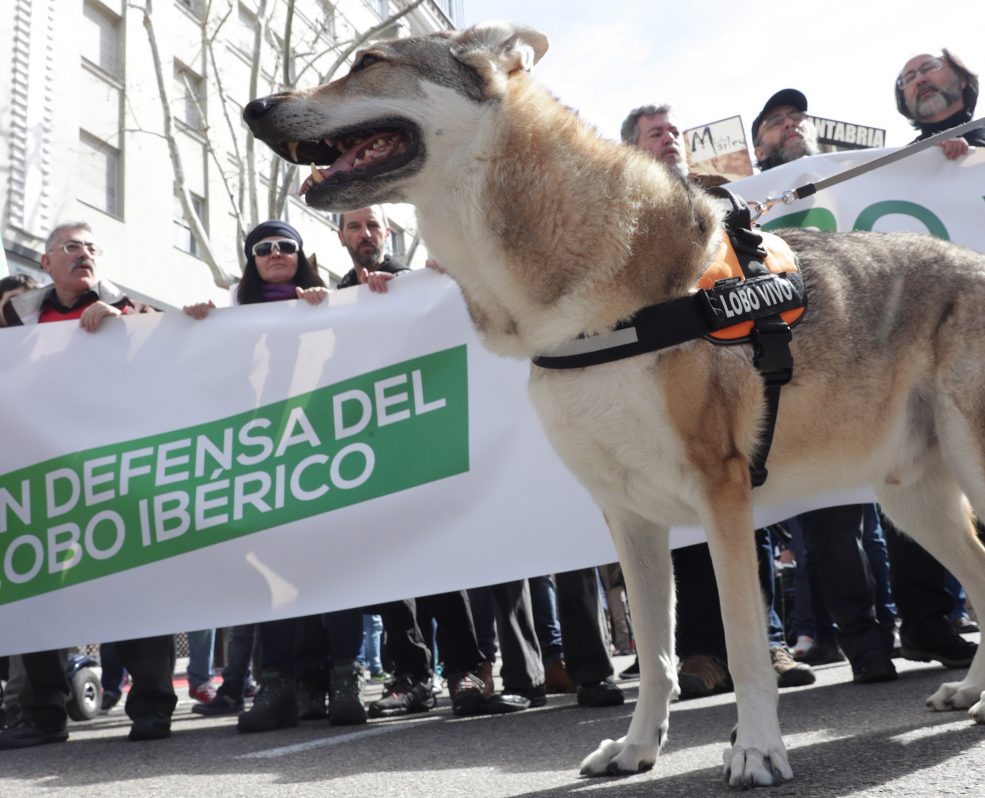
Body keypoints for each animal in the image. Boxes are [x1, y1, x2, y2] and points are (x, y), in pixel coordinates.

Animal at [243, 21, 985, 788]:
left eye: (367, 62)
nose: (253, 109)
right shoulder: (629, 517)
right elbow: (657, 657)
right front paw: (635, 751)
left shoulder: (722, 498)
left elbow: (743, 644)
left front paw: (755, 750)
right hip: (910, 504)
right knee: (982, 577)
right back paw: (968, 693)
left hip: (956, 477)